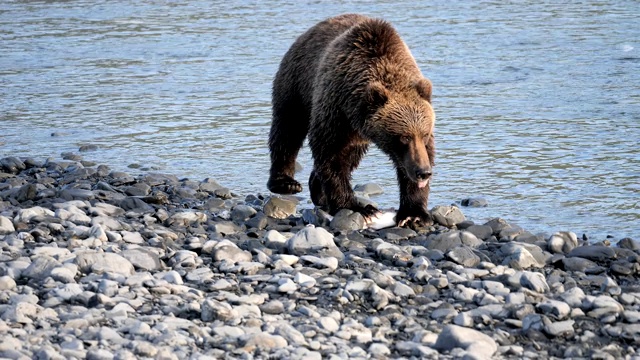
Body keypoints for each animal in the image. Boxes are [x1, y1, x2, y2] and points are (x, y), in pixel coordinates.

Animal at [264, 14, 436, 228]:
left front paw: (414, 214)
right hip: (296, 84)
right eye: (404, 137)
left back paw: (317, 189)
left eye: (425, 134)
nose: (423, 172)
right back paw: (285, 182)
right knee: (287, 129)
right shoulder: (335, 110)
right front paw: (359, 207)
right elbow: (331, 153)